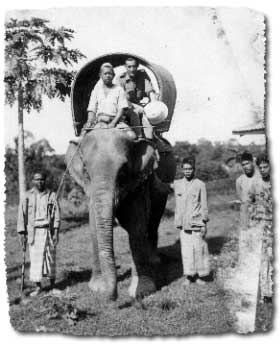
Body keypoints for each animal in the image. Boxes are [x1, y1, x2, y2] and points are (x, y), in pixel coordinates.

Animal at [65, 128, 175, 302]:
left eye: (123, 171)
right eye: (86, 171)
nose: (113, 297)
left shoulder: (139, 181)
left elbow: (137, 225)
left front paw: (142, 291)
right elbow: (93, 225)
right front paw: (97, 288)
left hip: (162, 190)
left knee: (153, 222)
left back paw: (154, 261)